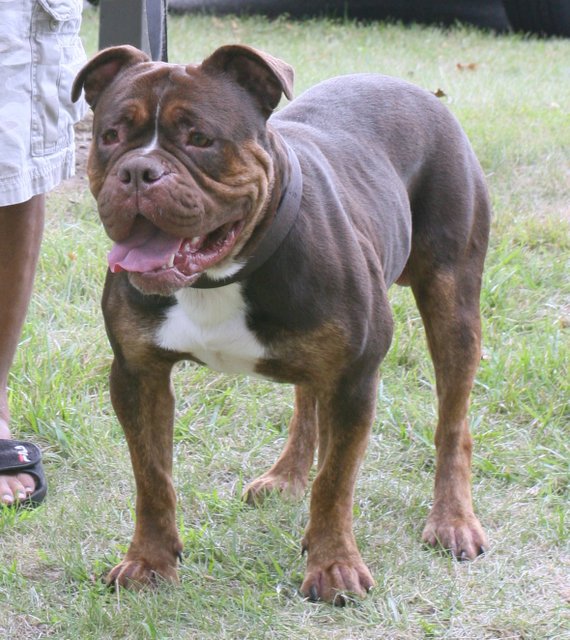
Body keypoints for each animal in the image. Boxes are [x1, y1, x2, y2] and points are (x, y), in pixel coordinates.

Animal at [71, 42, 488, 604]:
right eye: (110, 137)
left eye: (200, 139)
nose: (137, 172)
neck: (221, 275)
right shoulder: (138, 373)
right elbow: (152, 476)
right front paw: (149, 562)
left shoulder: (356, 377)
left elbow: (335, 480)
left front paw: (334, 566)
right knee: (307, 398)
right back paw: (287, 476)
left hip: (452, 304)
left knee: (452, 421)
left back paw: (452, 520)